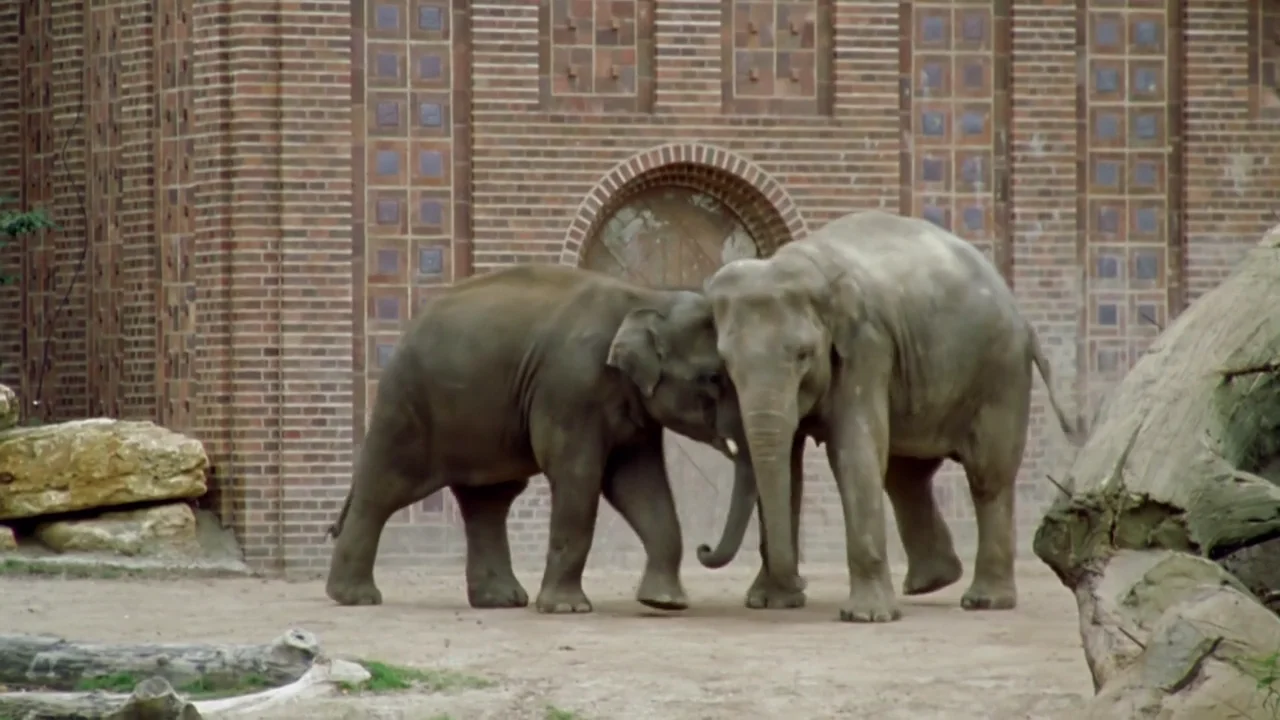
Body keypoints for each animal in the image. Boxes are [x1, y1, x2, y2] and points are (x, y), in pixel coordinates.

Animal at [324, 263, 739, 614]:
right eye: (713, 378)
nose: (705, 547)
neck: (647, 298)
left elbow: (639, 485)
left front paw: (665, 603)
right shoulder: (571, 387)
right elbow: (579, 476)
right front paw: (568, 609)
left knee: (488, 500)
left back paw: (501, 601)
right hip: (408, 404)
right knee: (386, 487)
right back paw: (355, 598)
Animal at [700, 209, 1082, 623]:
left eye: (804, 355)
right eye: (726, 363)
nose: (801, 582)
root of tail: (1021, 315)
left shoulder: (867, 346)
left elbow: (854, 450)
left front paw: (865, 617)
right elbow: (790, 463)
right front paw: (771, 602)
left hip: (1000, 373)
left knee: (986, 476)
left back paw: (984, 601)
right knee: (906, 475)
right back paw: (932, 582)